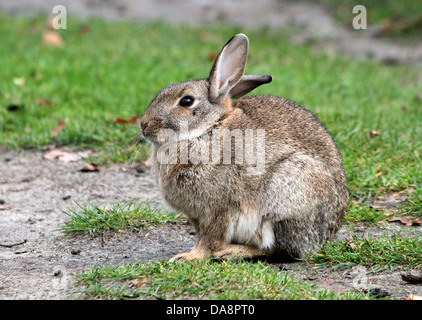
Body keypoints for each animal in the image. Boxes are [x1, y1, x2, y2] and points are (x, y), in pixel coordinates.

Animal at [140, 33, 348, 262]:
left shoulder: (218, 209)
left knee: (278, 249)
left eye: (187, 101)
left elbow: (210, 239)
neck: (207, 128)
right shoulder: (197, 215)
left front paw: (189, 257)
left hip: (286, 195)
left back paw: (232, 251)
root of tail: (326, 235)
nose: (144, 125)